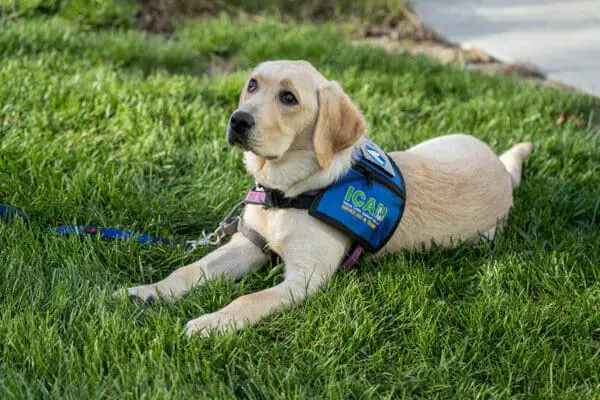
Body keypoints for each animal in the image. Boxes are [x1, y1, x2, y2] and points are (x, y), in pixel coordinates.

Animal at [120, 61, 528, 336]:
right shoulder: (248, 244)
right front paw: (152, 291)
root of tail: (501, 170)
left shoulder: (304, 278)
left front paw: (212, 323)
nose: (238, 120)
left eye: (289, 98)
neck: (288, 192)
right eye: (252, 85)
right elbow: (192, 269)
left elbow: (249, 299)